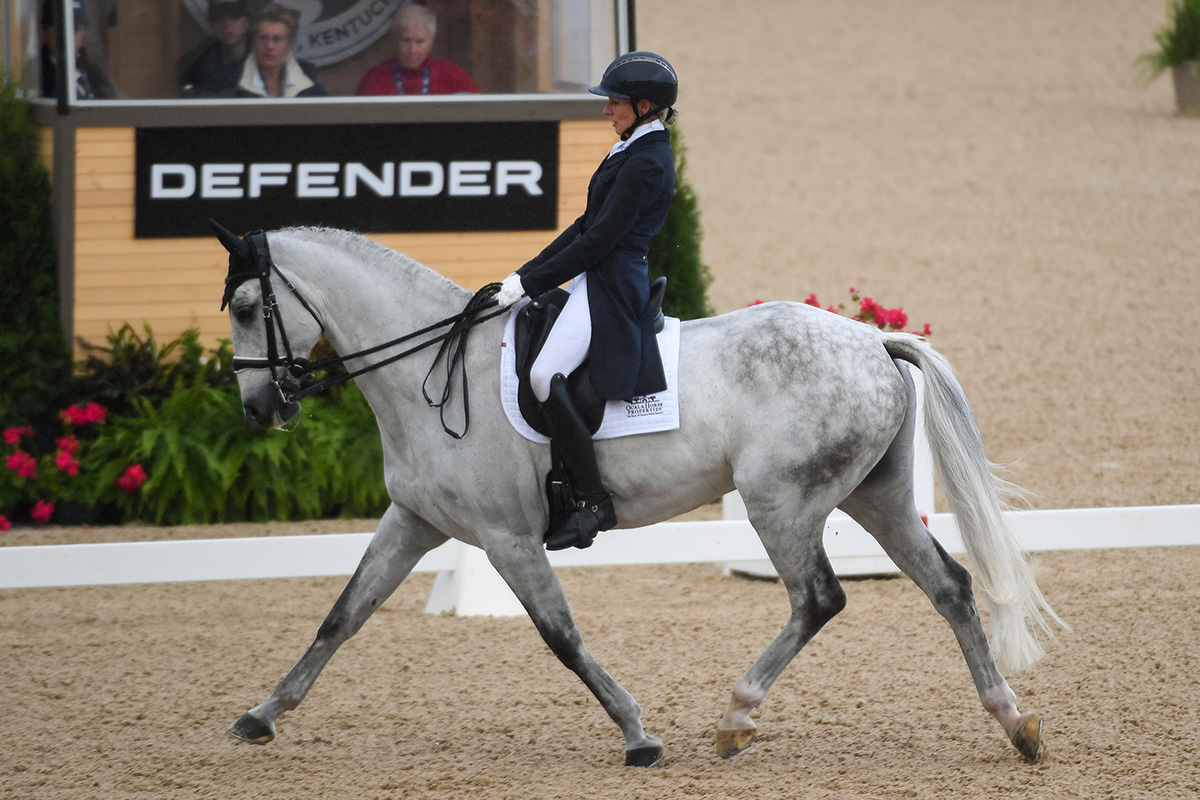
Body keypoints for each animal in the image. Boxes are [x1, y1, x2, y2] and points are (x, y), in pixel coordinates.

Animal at [220, 224, 1065, 762]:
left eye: (245, 308)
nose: (260, 409)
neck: (429, 370)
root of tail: (874, 340)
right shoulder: (415, 522)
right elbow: (341, 616)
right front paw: (261, 716)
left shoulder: (507, 537)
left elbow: (562, 638)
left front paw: (638, 735)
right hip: (876, 498)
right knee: (949, 587)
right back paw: (1014, 723)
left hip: (781, 502)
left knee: (818, 599)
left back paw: (737, 717)